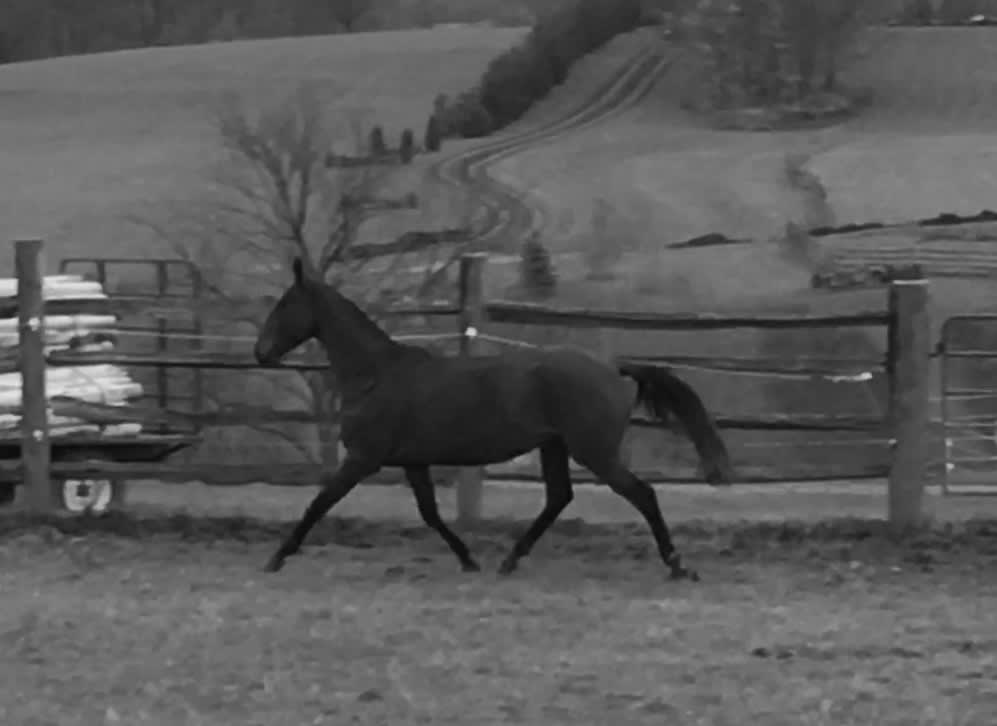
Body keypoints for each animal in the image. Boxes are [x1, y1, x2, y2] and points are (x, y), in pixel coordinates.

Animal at [253, 258, 733, 579]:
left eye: (284, 305)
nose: (260, 352)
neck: (376, 374)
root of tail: (615, 369)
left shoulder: (363, 458)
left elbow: (319, 502)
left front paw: (276, 557)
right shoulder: (412, 461)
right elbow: (429, 513)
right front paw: (468, 560)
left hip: (593, 450)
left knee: (641, 494)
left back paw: (677, 565)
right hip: (555, 446)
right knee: (559, 498)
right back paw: (509, 560)